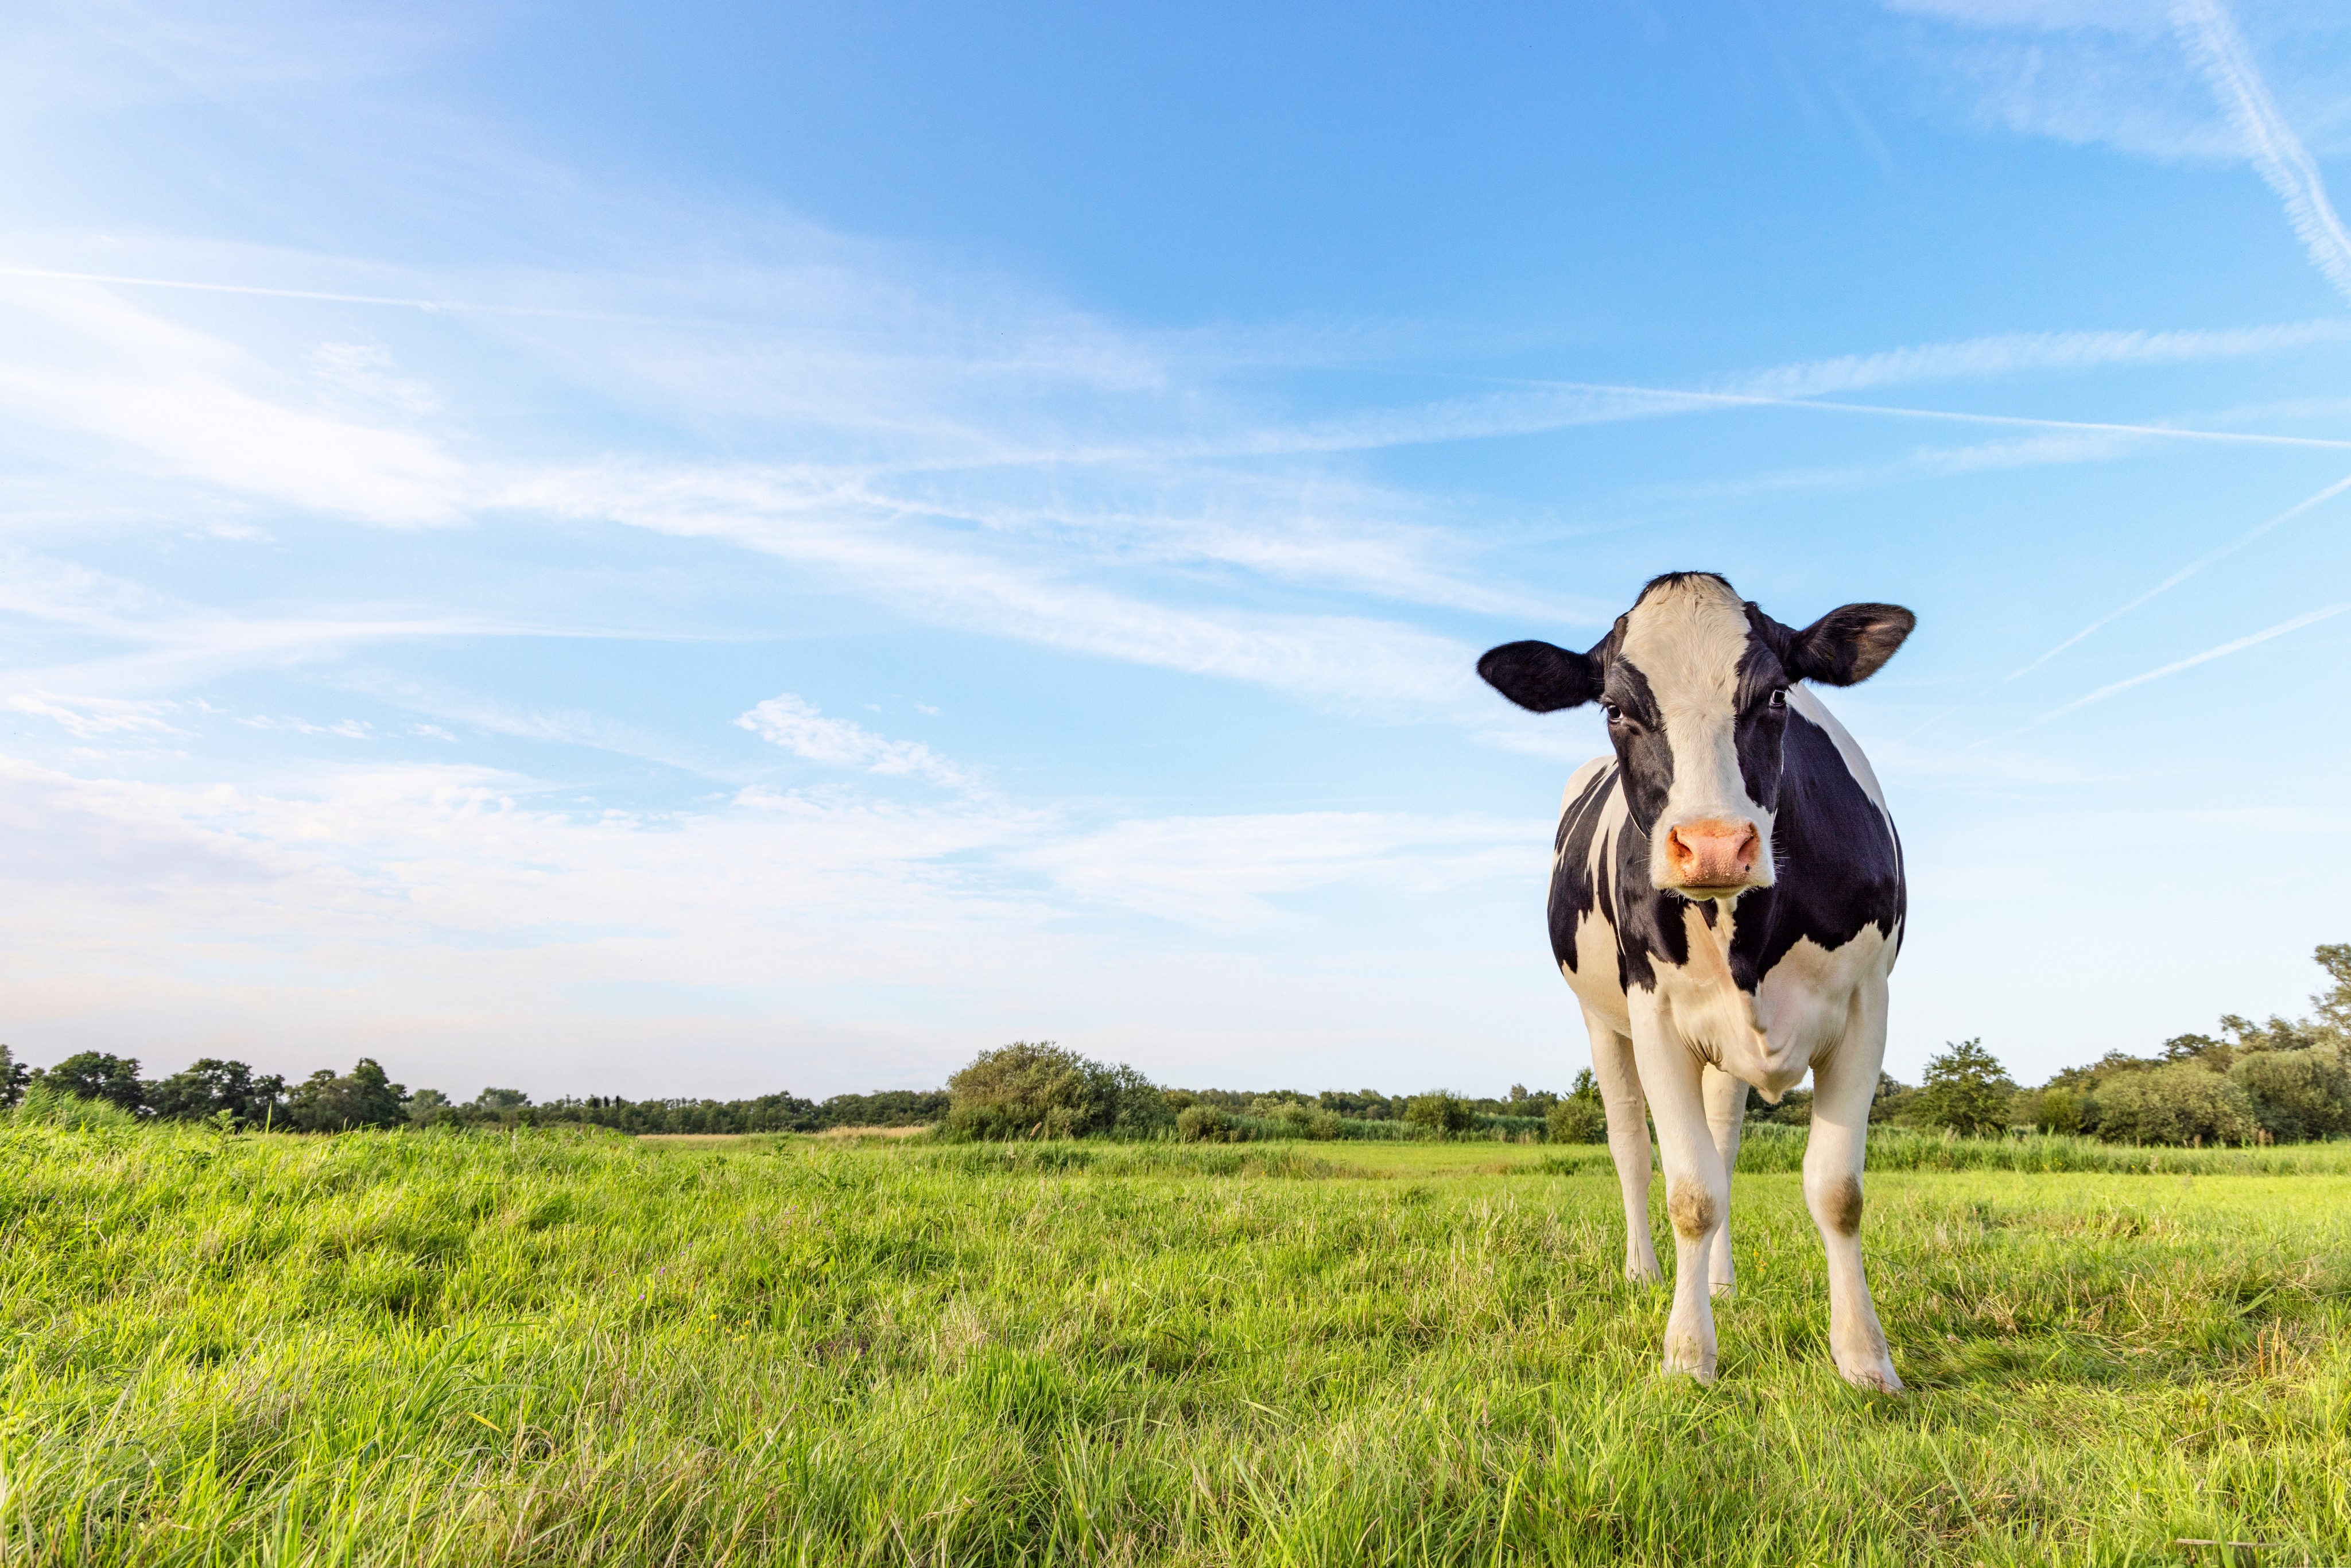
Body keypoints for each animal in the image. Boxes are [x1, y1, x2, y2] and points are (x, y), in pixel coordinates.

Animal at [1485, 571, 1908, 1391]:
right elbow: (1689, 1190)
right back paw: (1644, 1271)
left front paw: (1864, 1356)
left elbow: (1835, 1190)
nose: (1712, 846)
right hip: (1602, 1022)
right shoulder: (1654, 1014)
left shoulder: (1867, 1003)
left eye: (1776, 694)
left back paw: (1720, 1279)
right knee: (1630, 1144)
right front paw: (1687, 1354)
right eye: (1614, 708)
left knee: (1724, 1142)